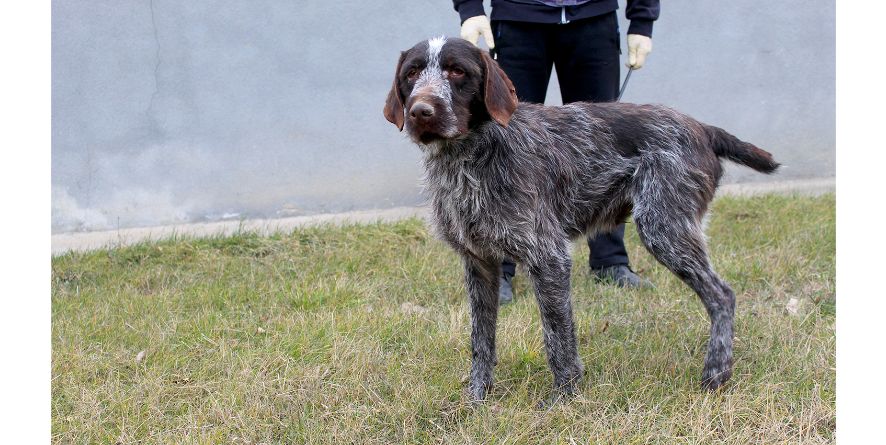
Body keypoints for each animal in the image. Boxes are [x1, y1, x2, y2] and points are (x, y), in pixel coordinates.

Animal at [386, 36, 780, 400]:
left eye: (457, 71)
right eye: (412, 74)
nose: (421, 111)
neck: (468, 158)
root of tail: (701, 127)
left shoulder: (549, 257)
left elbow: (557, 335)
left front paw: (564, 398)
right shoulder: (479, 262)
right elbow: (481, 340)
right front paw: (477, 398)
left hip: (665, 228)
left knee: (722, 296)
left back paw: (716, 373)